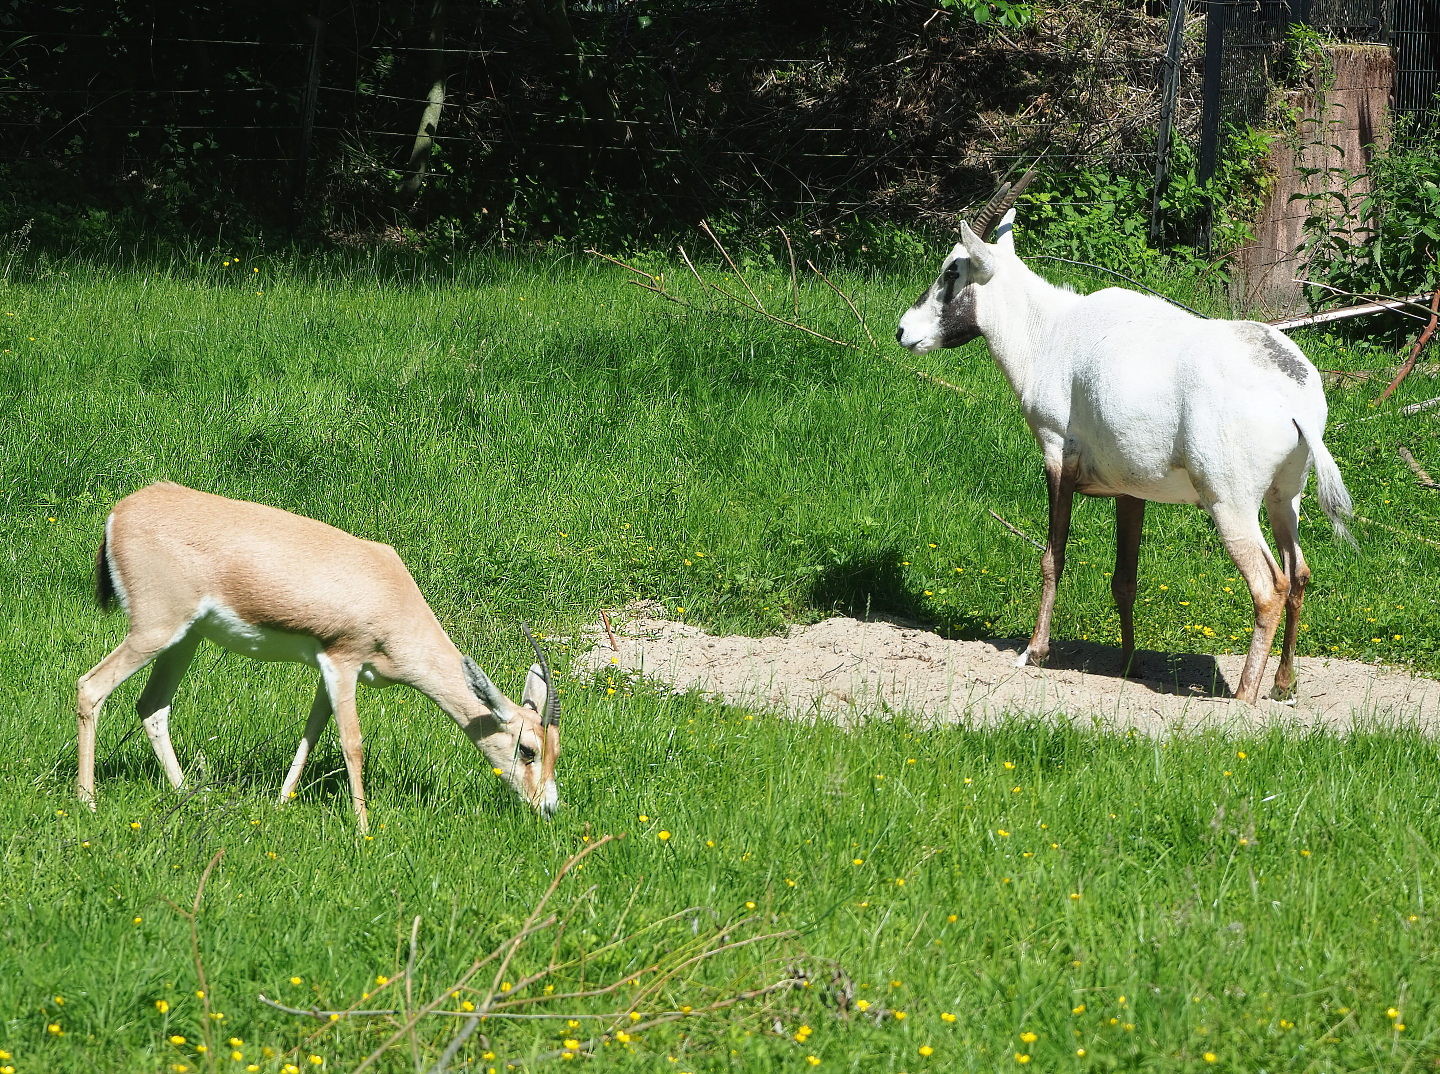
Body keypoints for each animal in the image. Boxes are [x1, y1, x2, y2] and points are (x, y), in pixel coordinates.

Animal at [77, 482, 560, 829]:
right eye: (528, 750)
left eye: (557, 748)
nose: (548, 807)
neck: (390, 594)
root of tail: (120, 512)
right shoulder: (342, 661)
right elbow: (352, 743)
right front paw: (363, 829)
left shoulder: (331, 672)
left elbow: (311, 732)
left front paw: (280, 802)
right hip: (154, 632)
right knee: (90, 687)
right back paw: (88, 803)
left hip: (184, 639)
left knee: (152, 706)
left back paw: (188, 795)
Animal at [895, 174, 1354, 705]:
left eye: (952, 269)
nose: (903, 330)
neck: (1050, 330)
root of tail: (1296, 396)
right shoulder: (1131, 490)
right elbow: (1125, 579)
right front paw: (1128, 664)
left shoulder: (1058, 454)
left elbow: (1052, 556)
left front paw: (1035, 651)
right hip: (1285, 498)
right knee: (1299, 573)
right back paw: (1282, 684)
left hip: (1231, 504)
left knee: (1269, 586)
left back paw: (1242, 698)